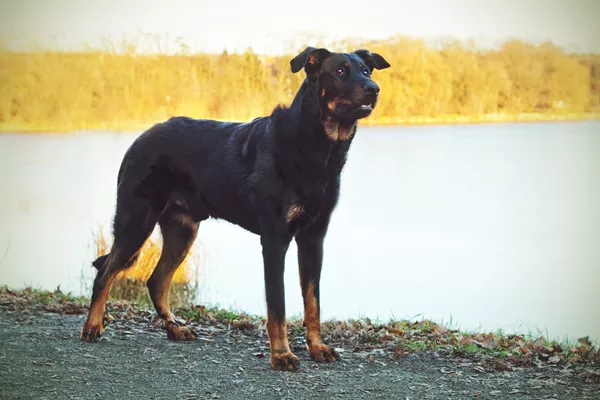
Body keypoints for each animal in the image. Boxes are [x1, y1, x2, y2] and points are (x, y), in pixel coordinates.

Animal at [81, 47, 390, 372]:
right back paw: (93, 326)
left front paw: (316, 347)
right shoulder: (275, 240)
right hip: (137, 221)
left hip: (182, 231)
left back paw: (175, 328)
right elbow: (278, 307)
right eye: (340, 71)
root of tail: (139, 139)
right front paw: (281, 354)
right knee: (106, 273)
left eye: (366, 70)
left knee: (156, 280)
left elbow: (313, 302)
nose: (374, 89)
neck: (317, 148)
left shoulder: (313, 238)